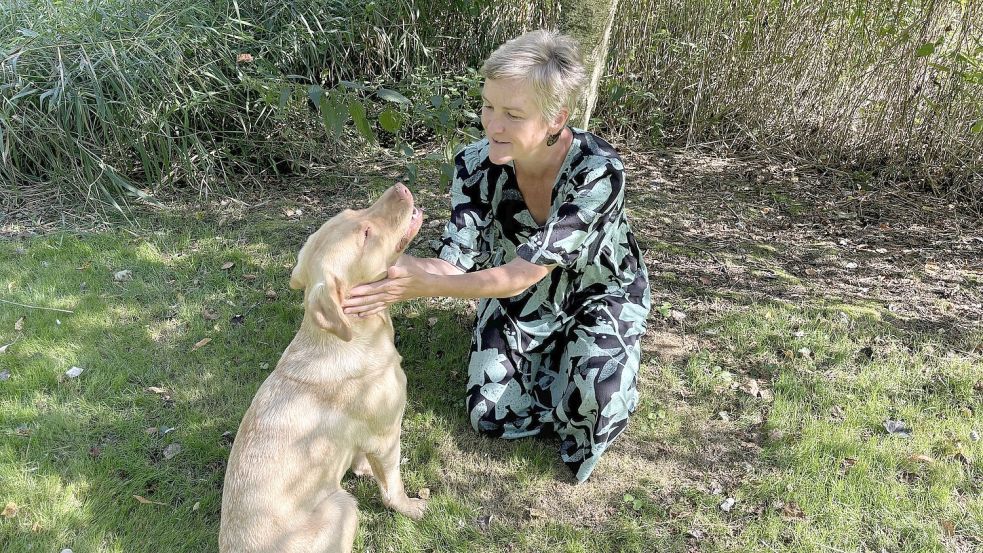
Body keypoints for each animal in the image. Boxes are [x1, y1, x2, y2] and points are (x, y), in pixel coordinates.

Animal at [222, 183, 426, 548]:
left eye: (353, 212)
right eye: (366, 233)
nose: (401, 187)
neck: (352, 336)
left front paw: (361, 467)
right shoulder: (387, 436)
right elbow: (392, 488)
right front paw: (409, 506)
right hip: (344, 505)